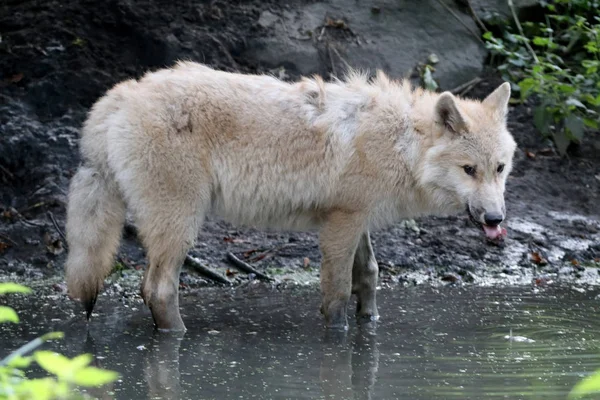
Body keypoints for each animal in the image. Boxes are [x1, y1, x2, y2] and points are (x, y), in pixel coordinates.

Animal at [64, 61, 516, 332]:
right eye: (469, 170)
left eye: (500, 168)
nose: (496, 219)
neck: (402, 144)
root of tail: (121, 94)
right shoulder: (340, 224)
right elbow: (336, 294)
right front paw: (339, 335)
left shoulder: (356, 218)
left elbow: (368, 276)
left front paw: (369, 323)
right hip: (181, 225)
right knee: (157, 289)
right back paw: (179, 335)